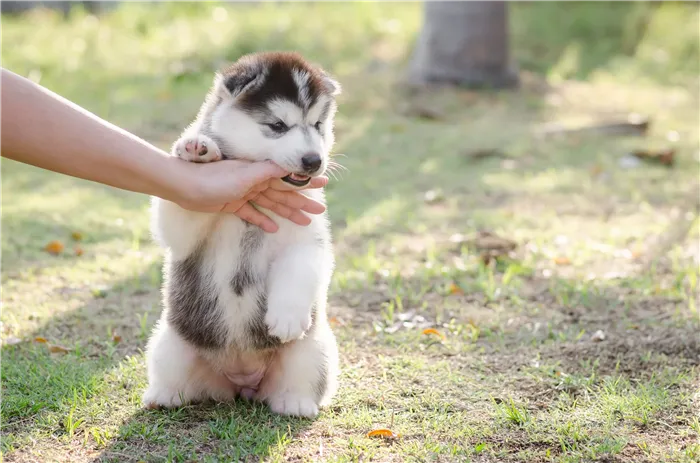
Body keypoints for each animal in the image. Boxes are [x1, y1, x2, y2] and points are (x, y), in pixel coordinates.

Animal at [142, 52, 340, 418]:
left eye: (318, 125)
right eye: (278, 126)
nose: (313, 160)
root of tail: (242, 380)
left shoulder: (307, 236)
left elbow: (300, 266)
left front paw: (286, 317)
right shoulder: (185, 235)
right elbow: (179, 217)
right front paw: (198, 150)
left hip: (315, 348)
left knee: (301, 378)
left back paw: (295, 403)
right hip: (169, 342)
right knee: (174, 376)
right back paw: (163, 396)